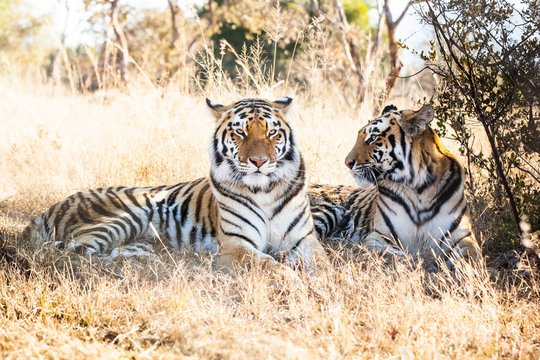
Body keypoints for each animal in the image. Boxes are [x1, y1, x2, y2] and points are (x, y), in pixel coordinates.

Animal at [23, 97, 326, 272]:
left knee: (109, 253)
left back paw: (149, 261)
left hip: (139, 240)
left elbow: (323, 263)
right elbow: (268, 265)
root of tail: (50, 207)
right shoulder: (236, 246)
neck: (265, 190)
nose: (259, 162)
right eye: (240, 132)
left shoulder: (304, 240)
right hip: (121, 218)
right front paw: (289, 278)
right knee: (75, 254)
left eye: (272, 133)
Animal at [308, 102, 480, 266]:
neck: (420, 188)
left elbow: (469, 257)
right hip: (324, 211)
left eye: (373, 138)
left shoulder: (463, 237)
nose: (347, 163)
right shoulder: (379, 235)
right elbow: (393, 255)